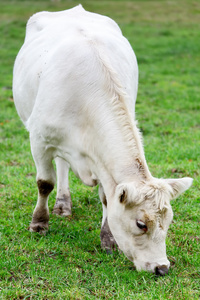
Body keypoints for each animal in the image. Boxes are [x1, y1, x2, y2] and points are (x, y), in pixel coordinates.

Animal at [12, 5, 192, 276]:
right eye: (141, 224)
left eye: (169, 221)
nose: (162, 268)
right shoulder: (39, 140)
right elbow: (44, 183)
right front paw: (39, 223)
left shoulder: (100, 159)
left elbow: (107, 198)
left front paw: (108, 239)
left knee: (63, 164)